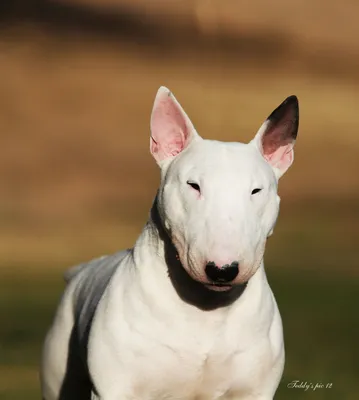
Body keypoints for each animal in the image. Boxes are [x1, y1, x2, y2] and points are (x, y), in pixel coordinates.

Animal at [40, 86, 300, 398]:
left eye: (256, 191)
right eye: (193, 185)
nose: (222, 270)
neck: (206, 309)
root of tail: (83, 270)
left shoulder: (255, 391)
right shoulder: (114, 388)